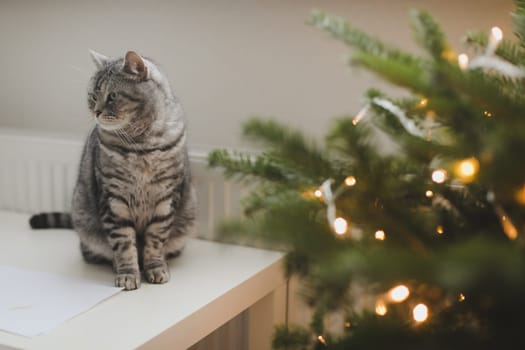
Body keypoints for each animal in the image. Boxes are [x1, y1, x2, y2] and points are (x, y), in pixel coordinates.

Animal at [29, 49, 196, 290]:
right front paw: (127, 273)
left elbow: (155, 242)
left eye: (112, 96)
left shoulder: (166, 199)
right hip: (84, 220)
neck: (141, 145)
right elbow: (124, 245)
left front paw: (155, 267)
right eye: (92, 96)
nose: (97, 112)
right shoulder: (114, 201)